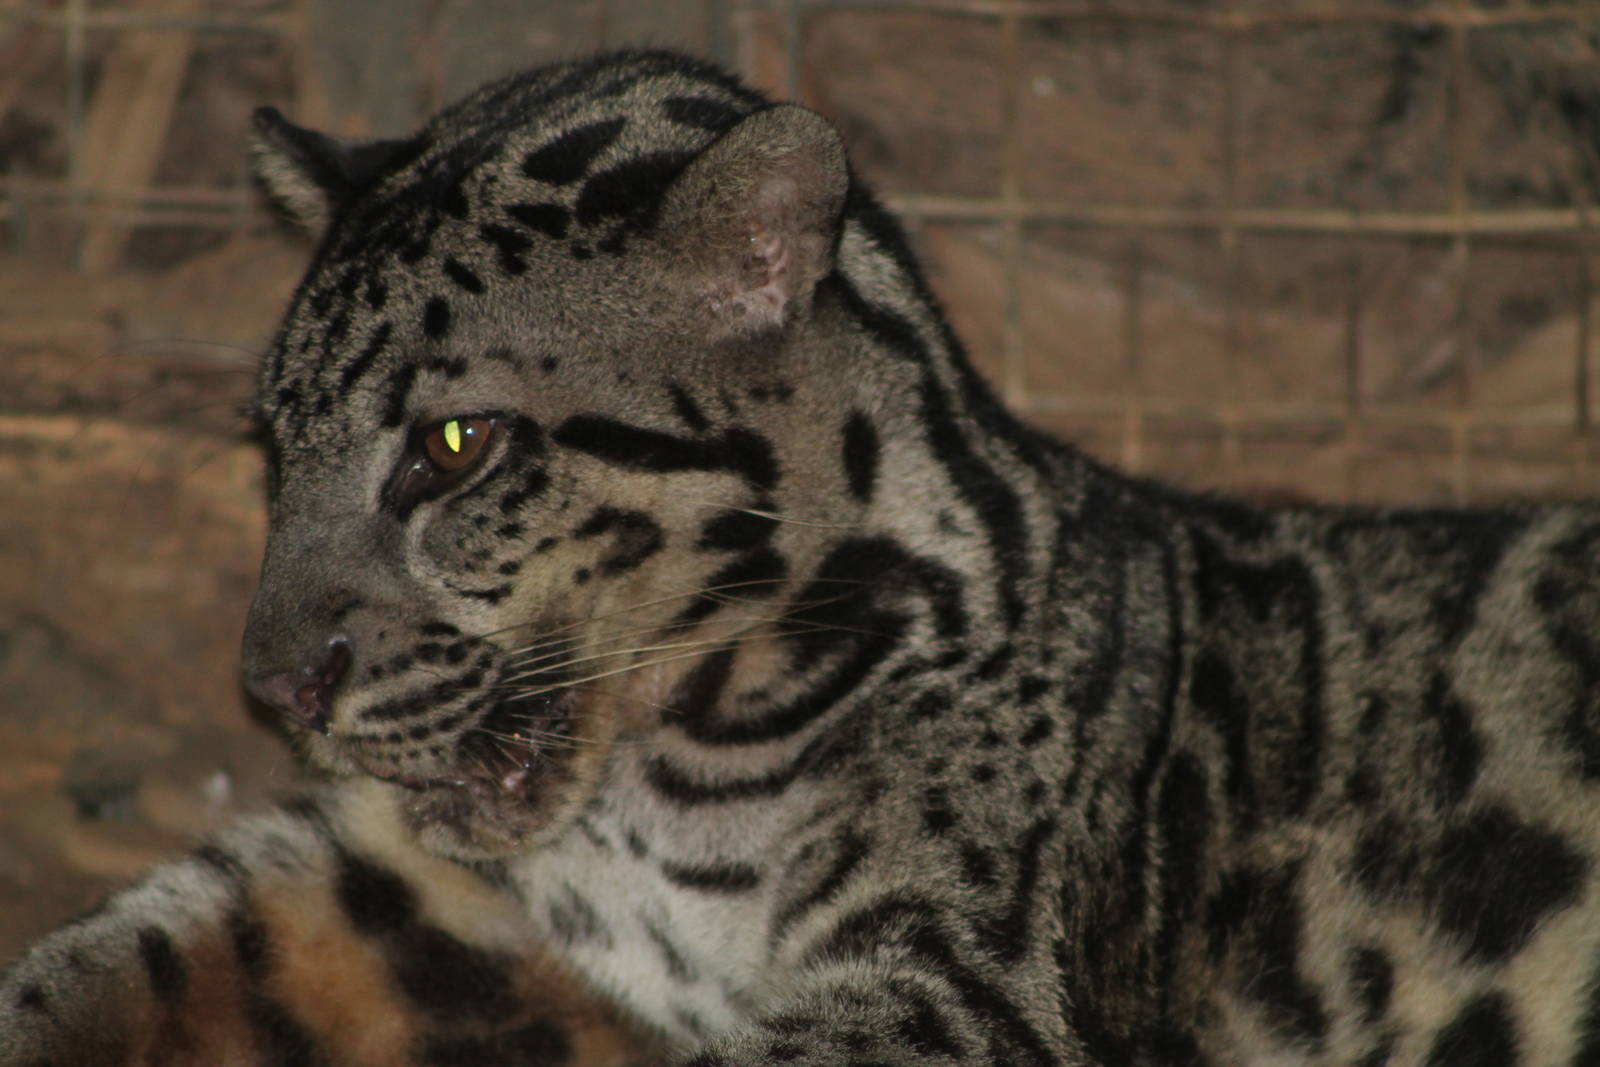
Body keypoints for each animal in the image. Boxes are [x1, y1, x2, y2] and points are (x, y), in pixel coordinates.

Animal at [5, 47, 1600, 1067]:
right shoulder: (401, 890)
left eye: (452, 447)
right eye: (273, 447)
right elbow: (110, 954)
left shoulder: (947, 971)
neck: (647, 789)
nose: (275, 686)